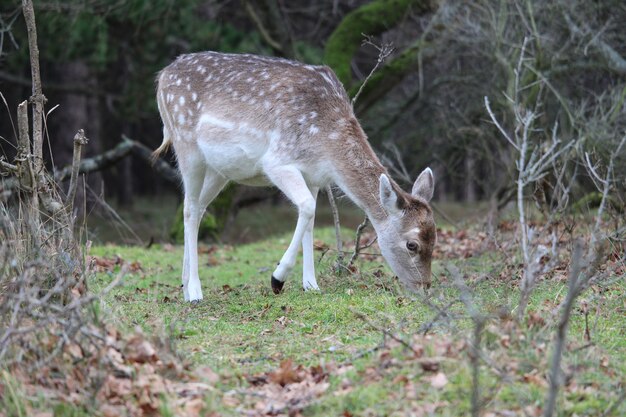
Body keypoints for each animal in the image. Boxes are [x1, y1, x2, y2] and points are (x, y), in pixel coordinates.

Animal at [153, 52, 434, 300]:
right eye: (412, 244)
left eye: (435, 239)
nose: (424, 288)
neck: (326, 146)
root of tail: (162, 76)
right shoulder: (278, 161)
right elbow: (307, 207)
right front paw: (277, 279)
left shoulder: (314, 176)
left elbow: (310, 220)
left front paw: (311, 285)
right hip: (186, 146)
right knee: (189, 208)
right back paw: (194, 292)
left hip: (218, 170)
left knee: (198, 209)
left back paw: (184, 286)